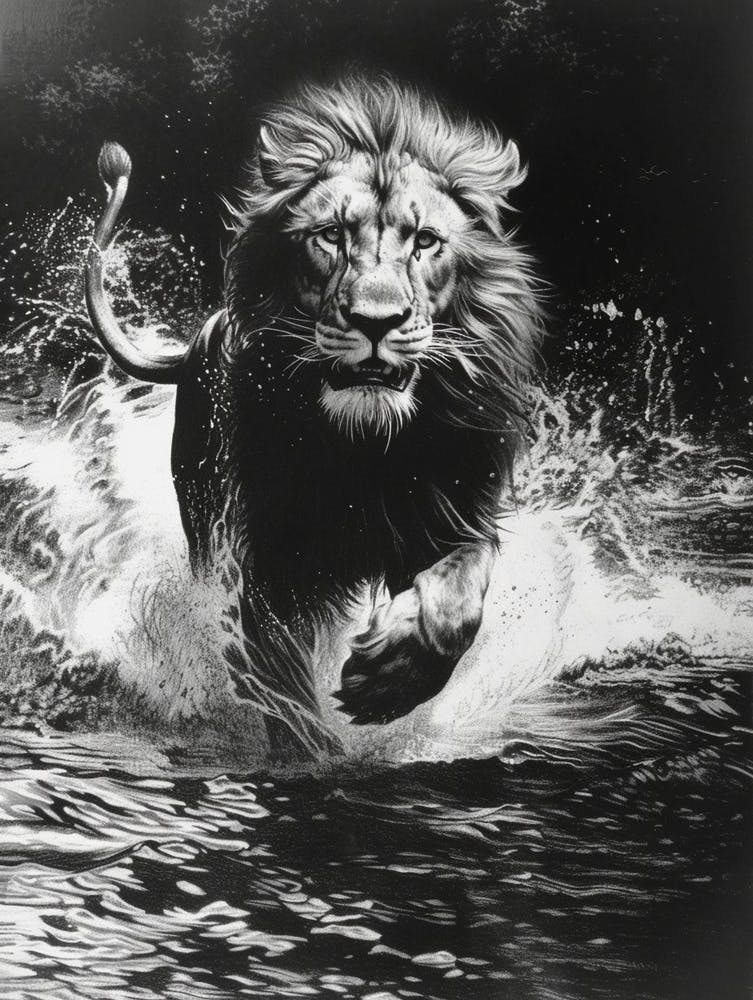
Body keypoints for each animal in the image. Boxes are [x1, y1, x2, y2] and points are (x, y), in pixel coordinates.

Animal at [85, 74, 543, 756]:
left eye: (425, 241)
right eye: (330, 235)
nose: (376, 322)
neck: (365, 449)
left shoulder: (455, 514)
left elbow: (459, 600)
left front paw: (388, 682)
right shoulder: (267, 563)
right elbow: (283, 687)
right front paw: (318, 759)